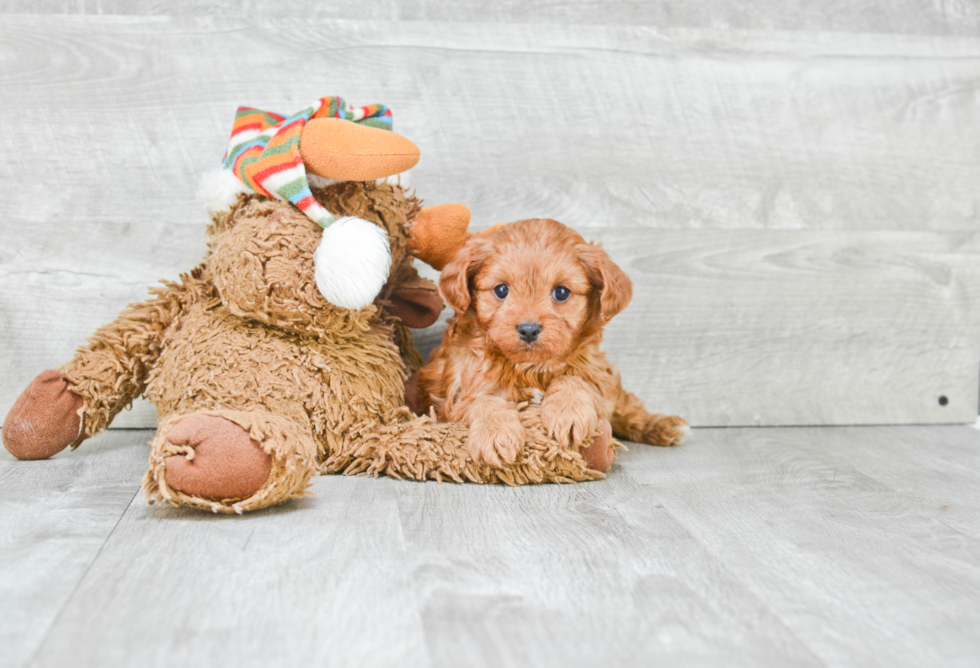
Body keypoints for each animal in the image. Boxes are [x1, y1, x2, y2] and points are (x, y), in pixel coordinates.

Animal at [416, 217, 688, 468]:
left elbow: (575, 379)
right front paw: (495, 434)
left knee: (626, 406)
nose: (528, 329)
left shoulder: (596, 373)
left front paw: (568, 412)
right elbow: (483, 401)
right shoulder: (456, 394)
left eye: (561, 292)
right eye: (501, 290)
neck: (530, 366)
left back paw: (663, 425)